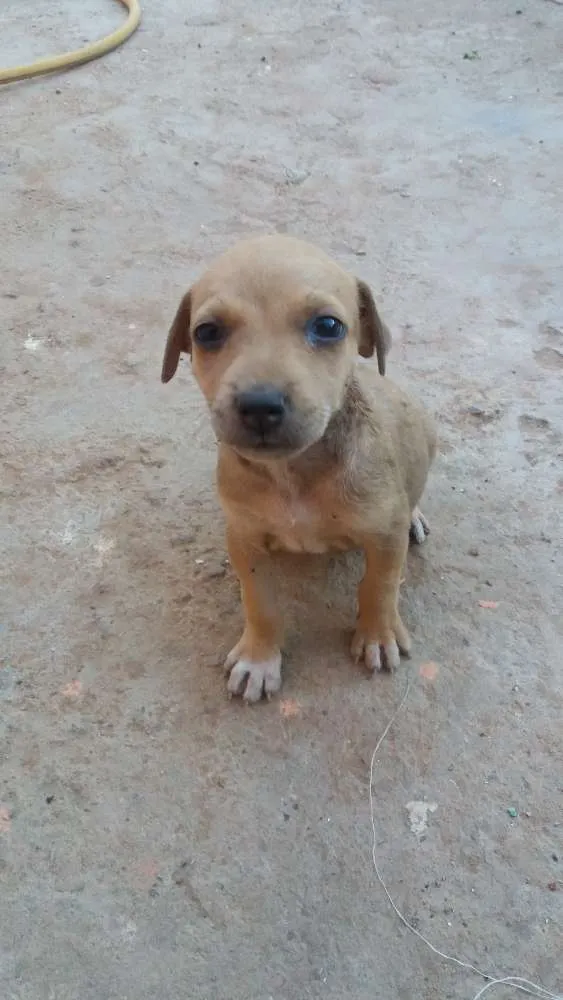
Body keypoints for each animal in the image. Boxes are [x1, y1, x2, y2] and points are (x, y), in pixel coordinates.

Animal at [161, 234, 438, 704]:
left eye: (328, 326)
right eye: (207, 333)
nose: (260, 405)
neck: (293, 473)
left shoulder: (384, 535)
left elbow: (379, 586)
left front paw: (377, 635)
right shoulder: (244, 540)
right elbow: (259, 602)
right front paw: (259, 657)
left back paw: (416, 516)